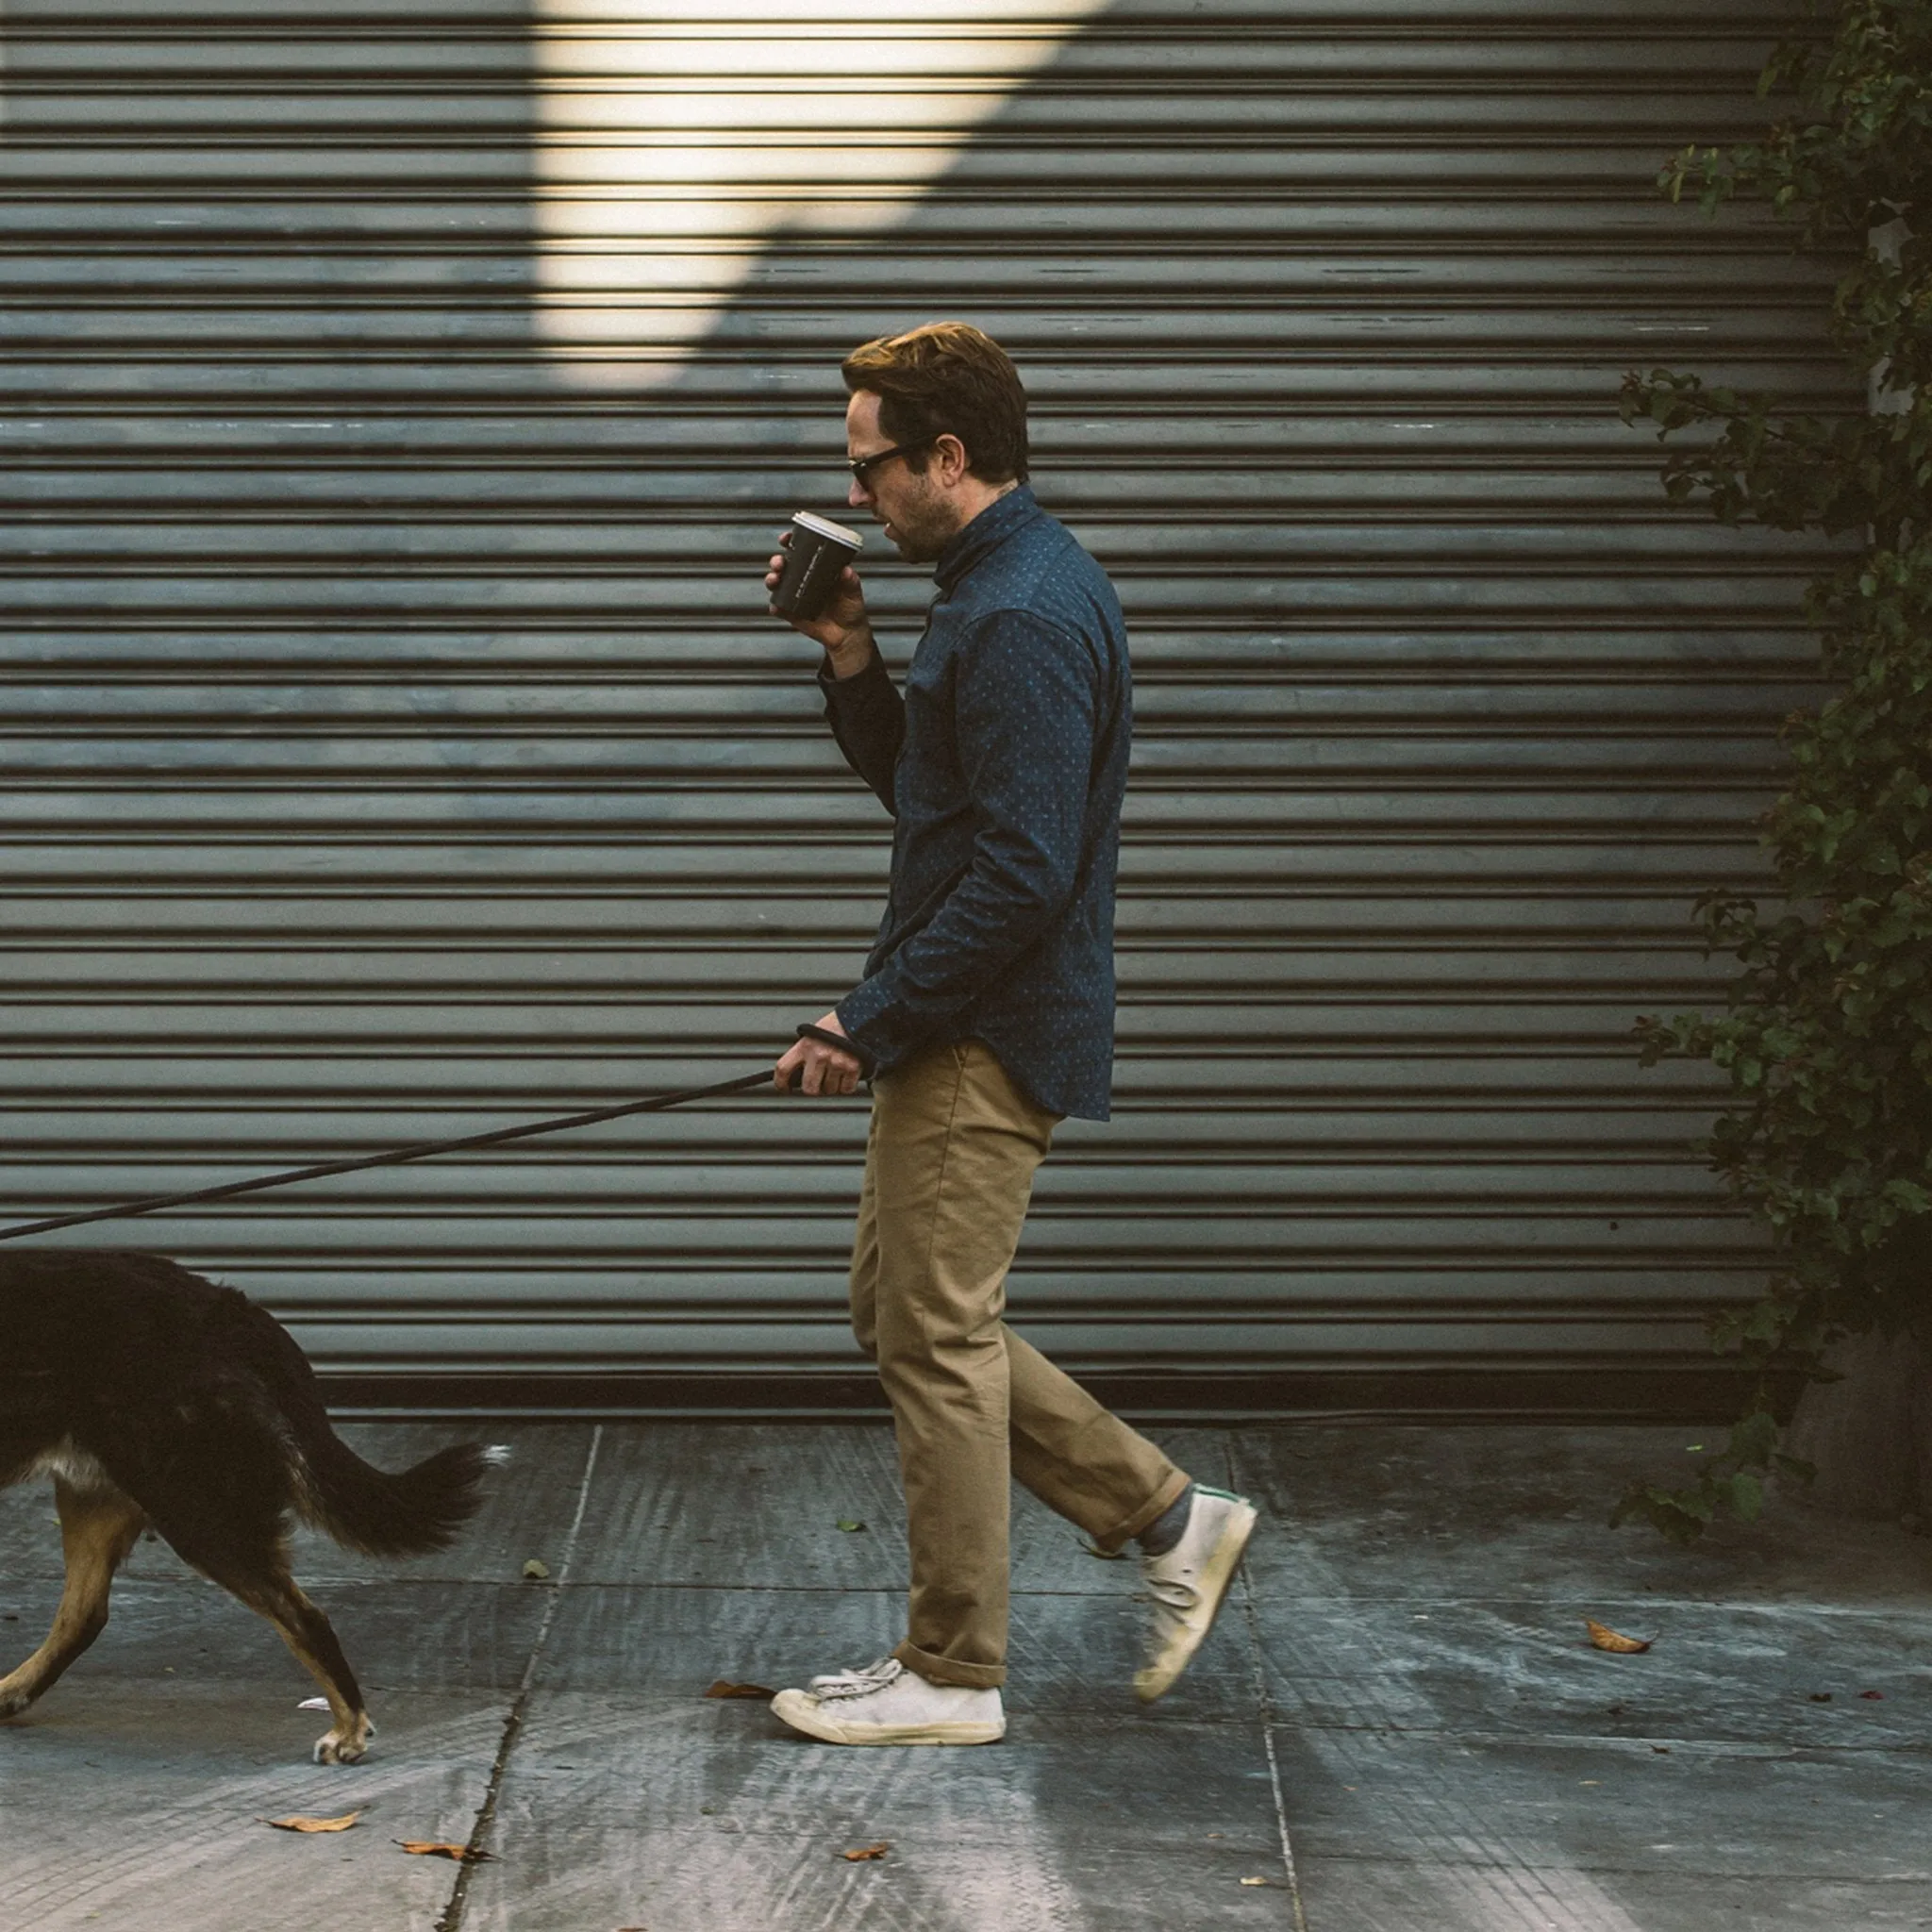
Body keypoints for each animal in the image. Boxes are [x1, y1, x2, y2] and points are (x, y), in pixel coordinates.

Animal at [0, 1252, 494, 1769]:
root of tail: (234, 1311)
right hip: (102, 1500)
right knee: (82, 1617)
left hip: (199, 1512)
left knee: (306, 1619)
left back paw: (349, 1730)